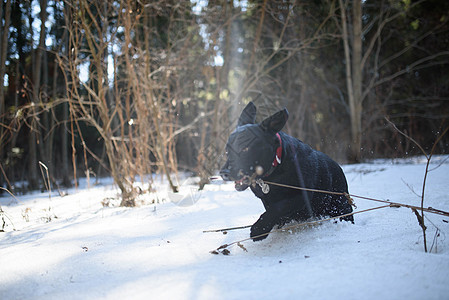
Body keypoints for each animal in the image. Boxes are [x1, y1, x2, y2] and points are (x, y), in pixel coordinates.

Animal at [219, 102, 352, 241]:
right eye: (227, 150)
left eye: (245, 148)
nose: (224, 173)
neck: (276, 167)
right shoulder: (266, 198)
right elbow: (272, 209)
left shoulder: (301, 194)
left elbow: (278, 208)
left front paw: (260, 229)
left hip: (340, 207)